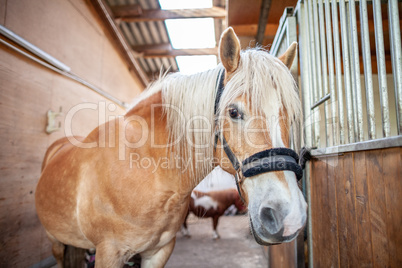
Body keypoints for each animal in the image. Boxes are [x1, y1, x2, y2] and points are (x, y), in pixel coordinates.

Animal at [35, 27, 308, 268]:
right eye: (233, 112)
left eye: (292, 117)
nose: (289, 214)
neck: (145, 168)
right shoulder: (109, 252)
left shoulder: (159, 251)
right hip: (54, 240)